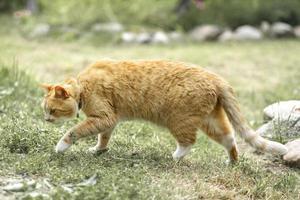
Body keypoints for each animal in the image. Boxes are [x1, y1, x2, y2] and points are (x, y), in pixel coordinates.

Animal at [41, 59, 288, 162]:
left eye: (52, 110)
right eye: (46, 110)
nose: (45, 120)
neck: (83, 87)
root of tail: (215, 77)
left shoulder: (104, 117)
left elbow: (74, 131)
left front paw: (61, 146)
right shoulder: (108, 121)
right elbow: (103, 137)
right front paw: (98, 150)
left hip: (178, 120)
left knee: (189, 142)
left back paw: (176, 156)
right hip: (211, 121)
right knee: (231, 138)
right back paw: (232, 163)